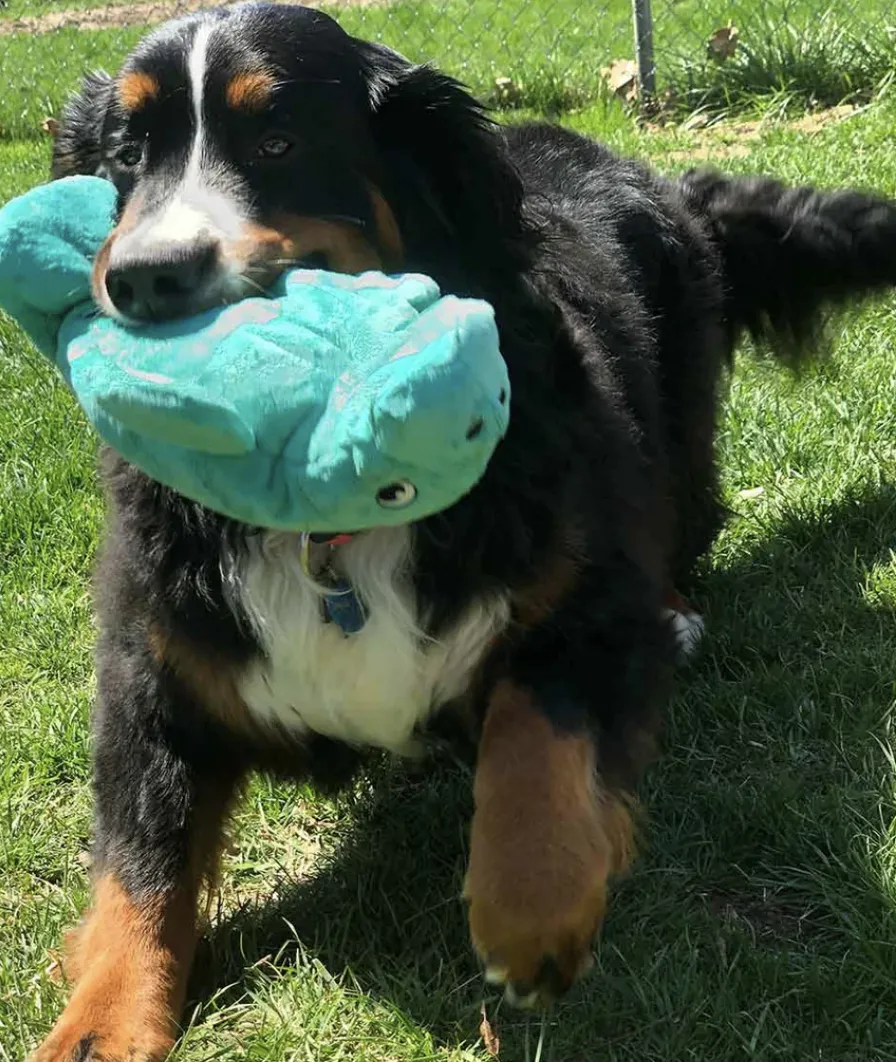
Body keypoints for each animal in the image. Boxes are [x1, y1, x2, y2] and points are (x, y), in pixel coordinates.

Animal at [29, 4, 896, 1057]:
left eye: (278, 143)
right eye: (124, 156)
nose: (147, 276)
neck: (328, 512)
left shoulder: (574, 585)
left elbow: (538, 725)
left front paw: (533, 909)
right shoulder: (153, 659)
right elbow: (139, 859)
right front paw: (96, 1023)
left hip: (676, 424)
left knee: (677, 512)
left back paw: (676, 612)